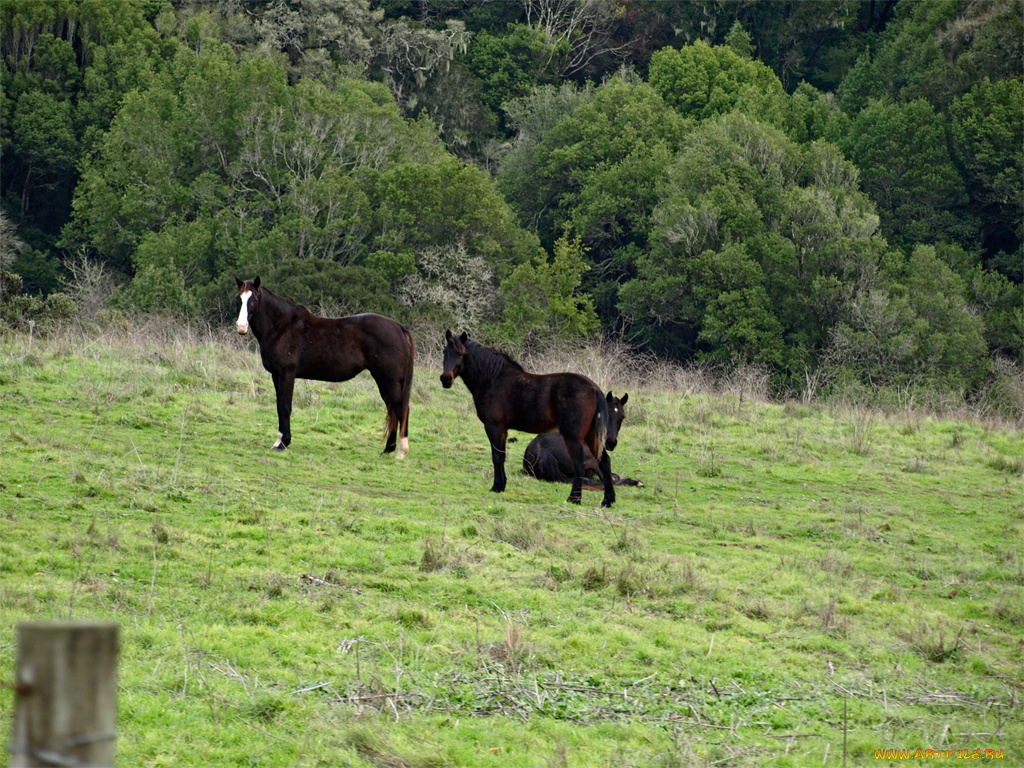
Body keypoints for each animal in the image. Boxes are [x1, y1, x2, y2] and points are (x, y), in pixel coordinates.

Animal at [237, 278, 413, 456]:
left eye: (254, 299)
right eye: (239, 298)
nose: (241, 327)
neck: (281, 327)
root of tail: (399, 327)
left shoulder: (286, 374)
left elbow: (284, 407)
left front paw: (282, 443)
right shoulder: (276, 375)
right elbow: (280, 406)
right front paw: (279, 441)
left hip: (389, 380)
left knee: (400, 408)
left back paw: (401, 451)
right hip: (383, 380)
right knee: (392, 409)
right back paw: (388, 449)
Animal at [440, 329, 614, 505]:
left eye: (460, 354)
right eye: (445, 352)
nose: (445, 379)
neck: (493, 379)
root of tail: (594, 389)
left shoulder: (493, 426)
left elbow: (496, 456)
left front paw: (496, 487)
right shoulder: (503, 430)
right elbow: (502, 456)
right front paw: (501, 485)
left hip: (573, 437)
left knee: (579, 463)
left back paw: (574, 498)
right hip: (591, 435)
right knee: (604, 461)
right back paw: (608, 500)